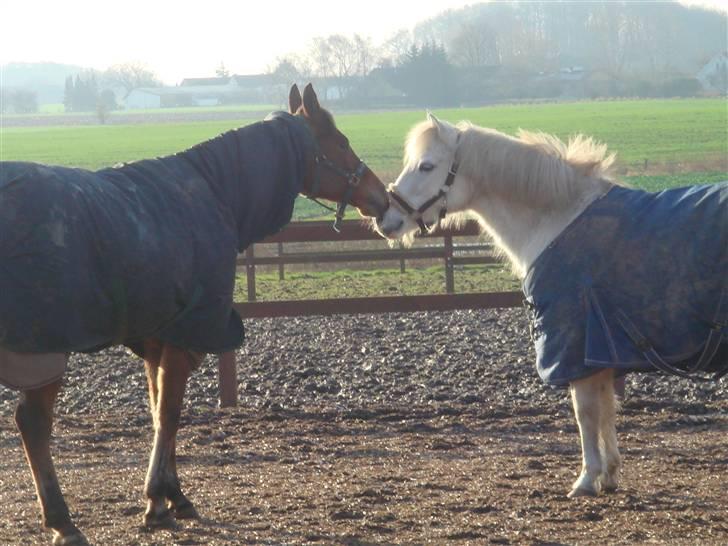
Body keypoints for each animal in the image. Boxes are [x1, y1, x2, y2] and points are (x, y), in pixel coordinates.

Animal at [0, 83, 389, 546]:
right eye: (341, 142)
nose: (384, 197)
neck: (212, 192)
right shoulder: (187, 333)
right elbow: (169, 413)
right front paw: (157, 501)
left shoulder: (158, 338)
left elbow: (160, 411)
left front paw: (173, 497)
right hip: (42, 350)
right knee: (34, 424)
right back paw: (64, 522)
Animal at [375, 112, 727, 498]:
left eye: (426, 165)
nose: (384, 218)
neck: (556, 219)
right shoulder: (599, 354)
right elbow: (606, 409)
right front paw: (610, 474)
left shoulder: (575, 349)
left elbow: (585, 412)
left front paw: (587, 479)